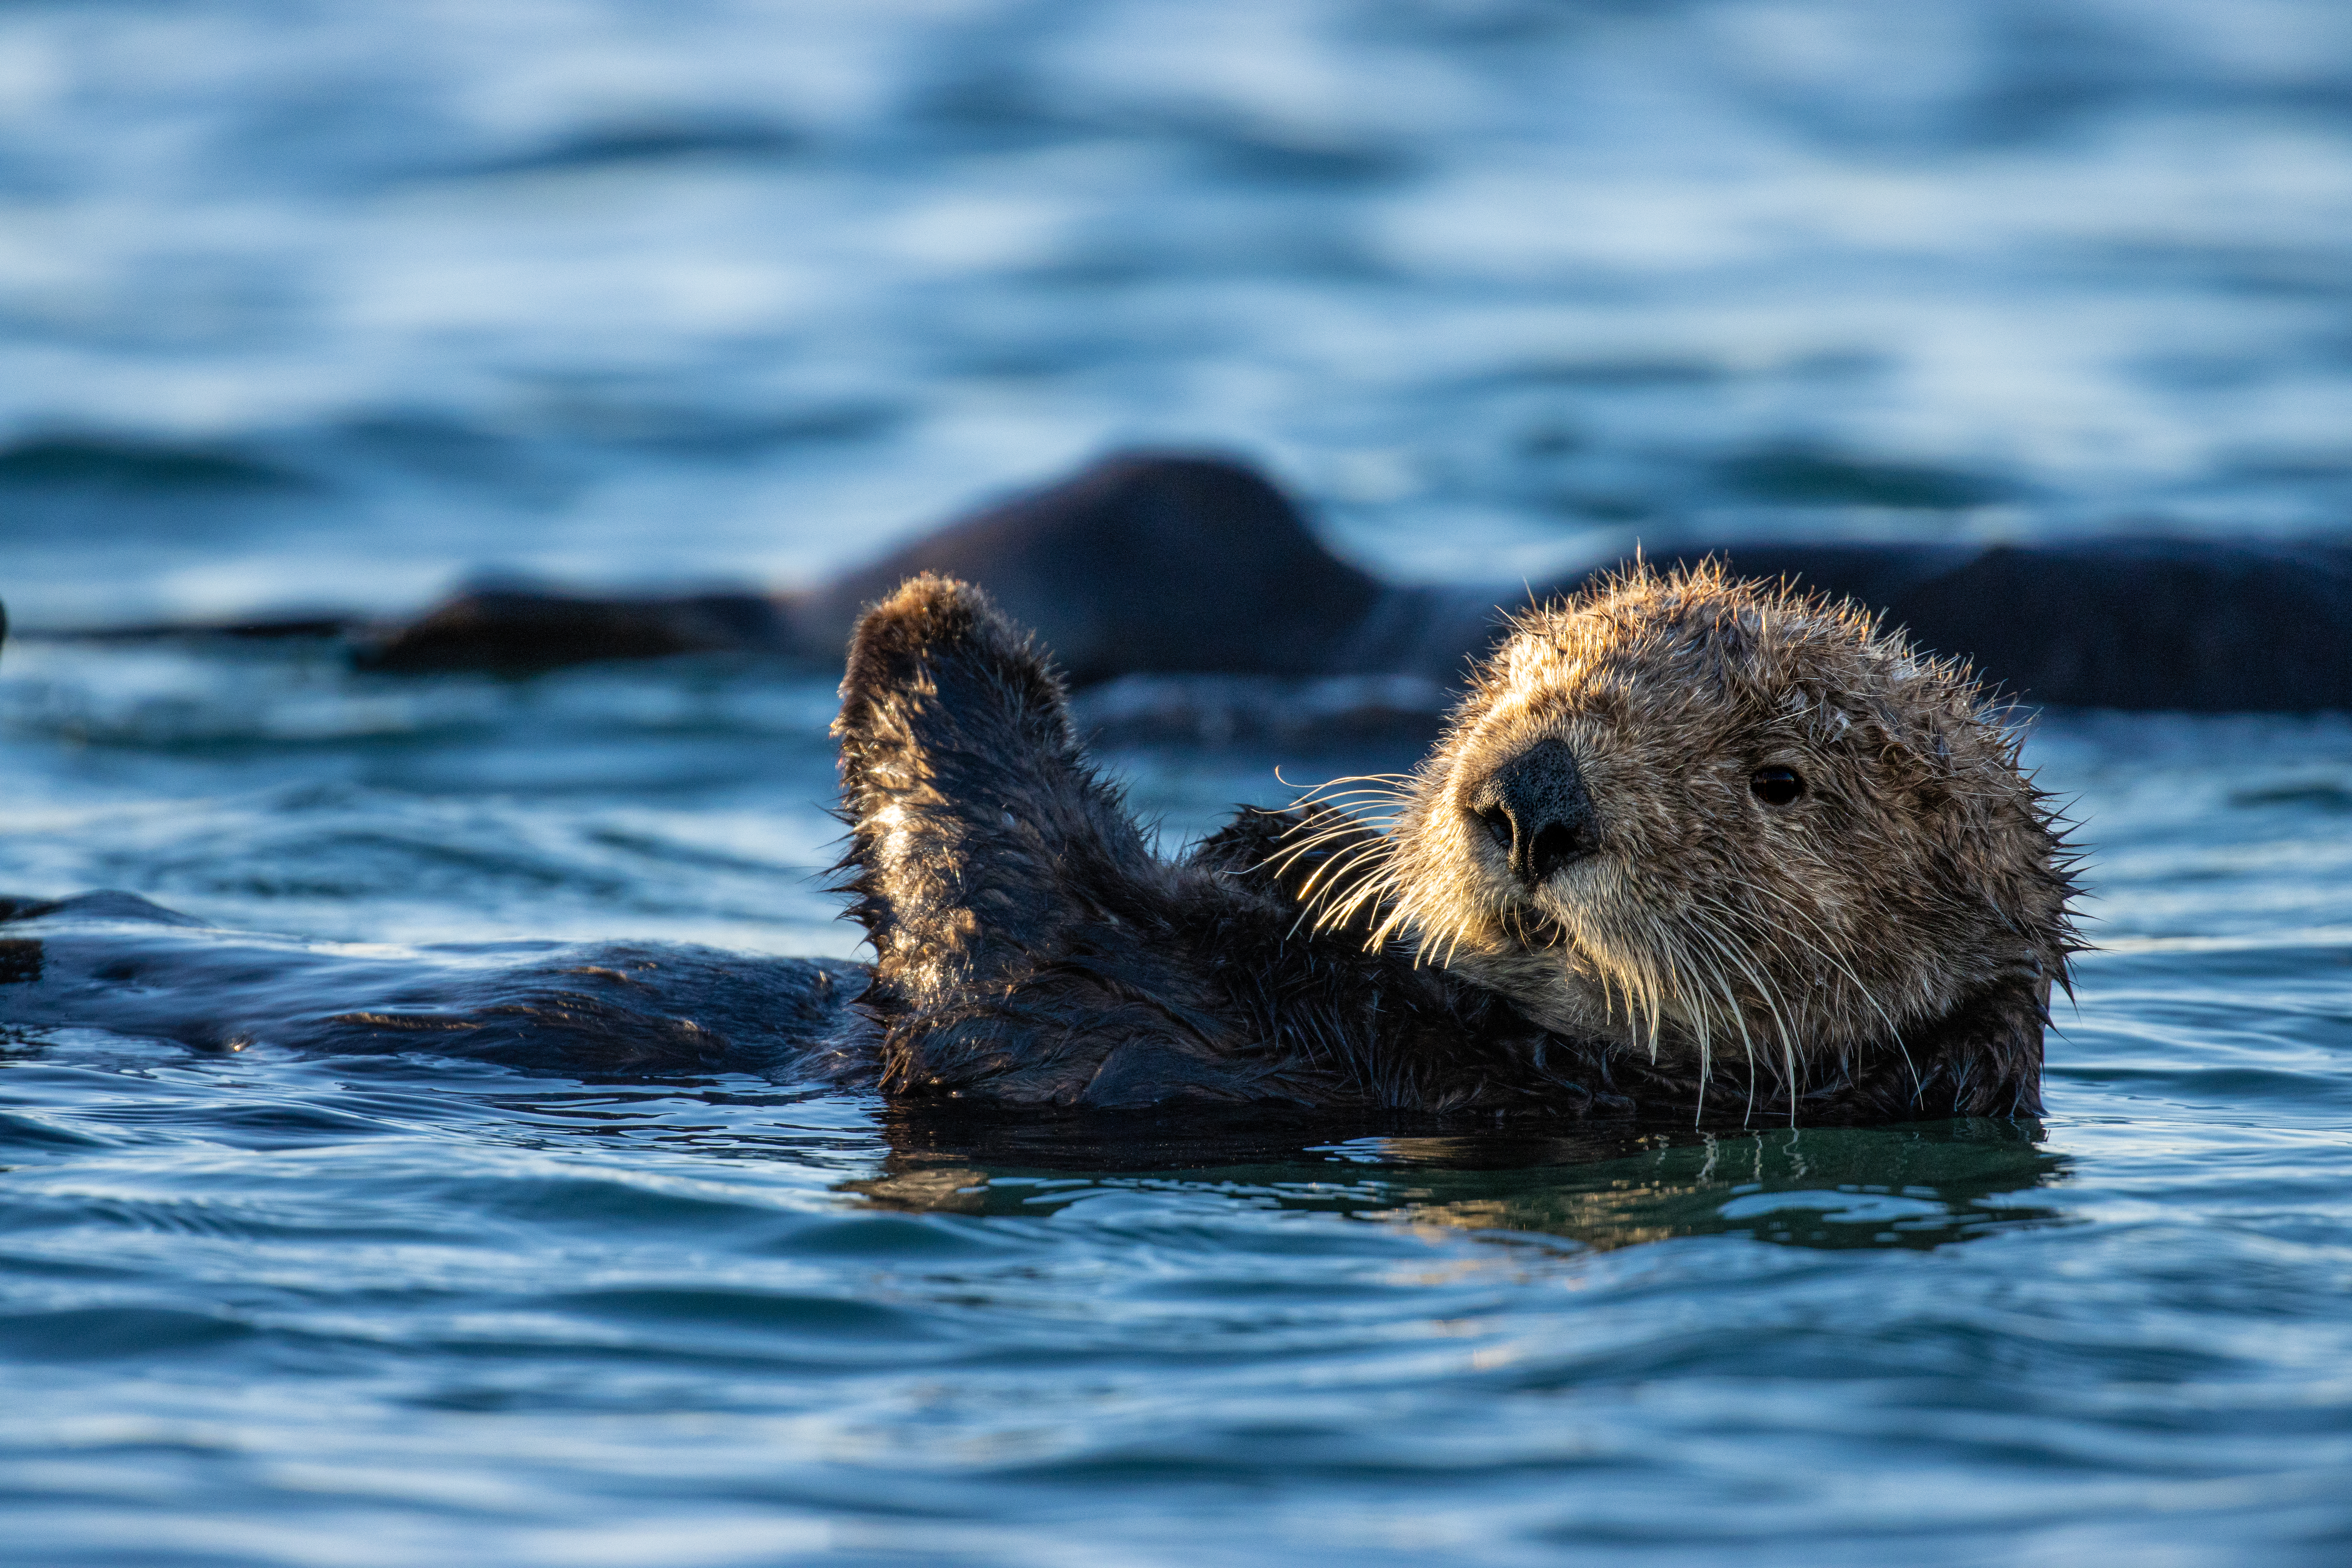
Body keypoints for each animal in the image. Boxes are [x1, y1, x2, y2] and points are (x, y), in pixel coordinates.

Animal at [828, 571, 2079, 1124]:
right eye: (1521, 684)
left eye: (1780, 782)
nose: (1532, 799)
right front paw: (1292, 845)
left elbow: (1014, 927)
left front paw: (927, 617)